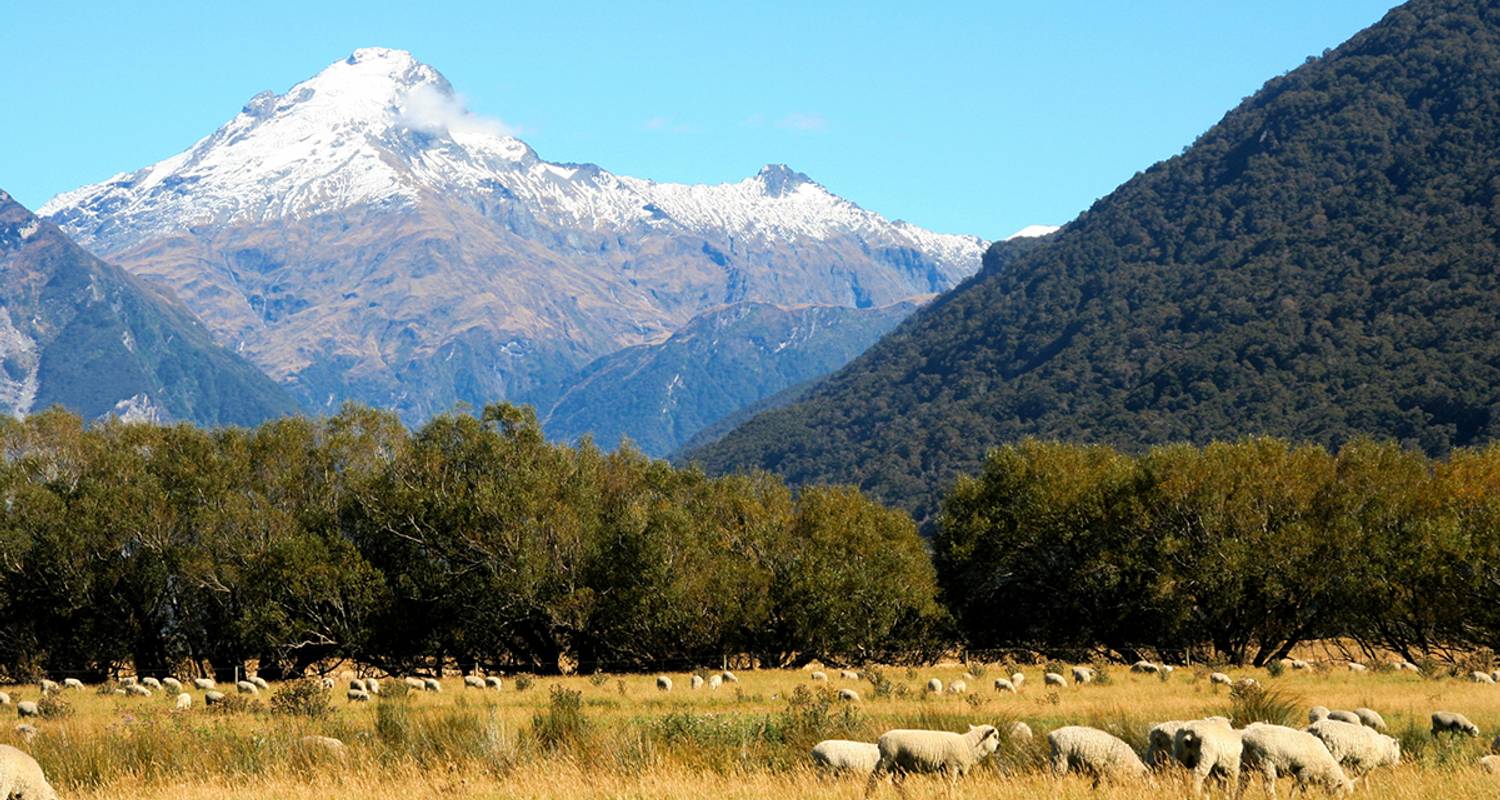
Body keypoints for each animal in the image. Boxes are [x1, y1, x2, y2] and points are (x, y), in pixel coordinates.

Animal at [864, 720, 1002, 786]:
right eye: (995, 736)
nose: (999, 747)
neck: (969, 745)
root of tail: (881, 739)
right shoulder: (951, 767)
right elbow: (950, 786)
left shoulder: (945, 769)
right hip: (887, 760)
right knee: (873, 778)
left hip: (899, 766)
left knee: (896, 783)